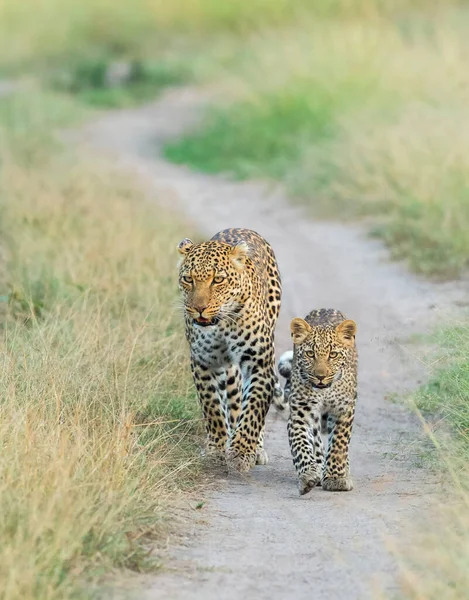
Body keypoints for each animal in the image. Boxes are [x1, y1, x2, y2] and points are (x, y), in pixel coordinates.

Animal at [176, 227, 282, 472]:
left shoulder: (260, 364)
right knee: (233, 401)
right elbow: (212, 407)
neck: (221, 324)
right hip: (231, 371)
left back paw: (256, 449)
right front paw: (216, 448)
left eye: (218, 280)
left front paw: (242, 452)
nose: (199, 308)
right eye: (188, 279)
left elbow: (253, 411)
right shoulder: (203, 362)